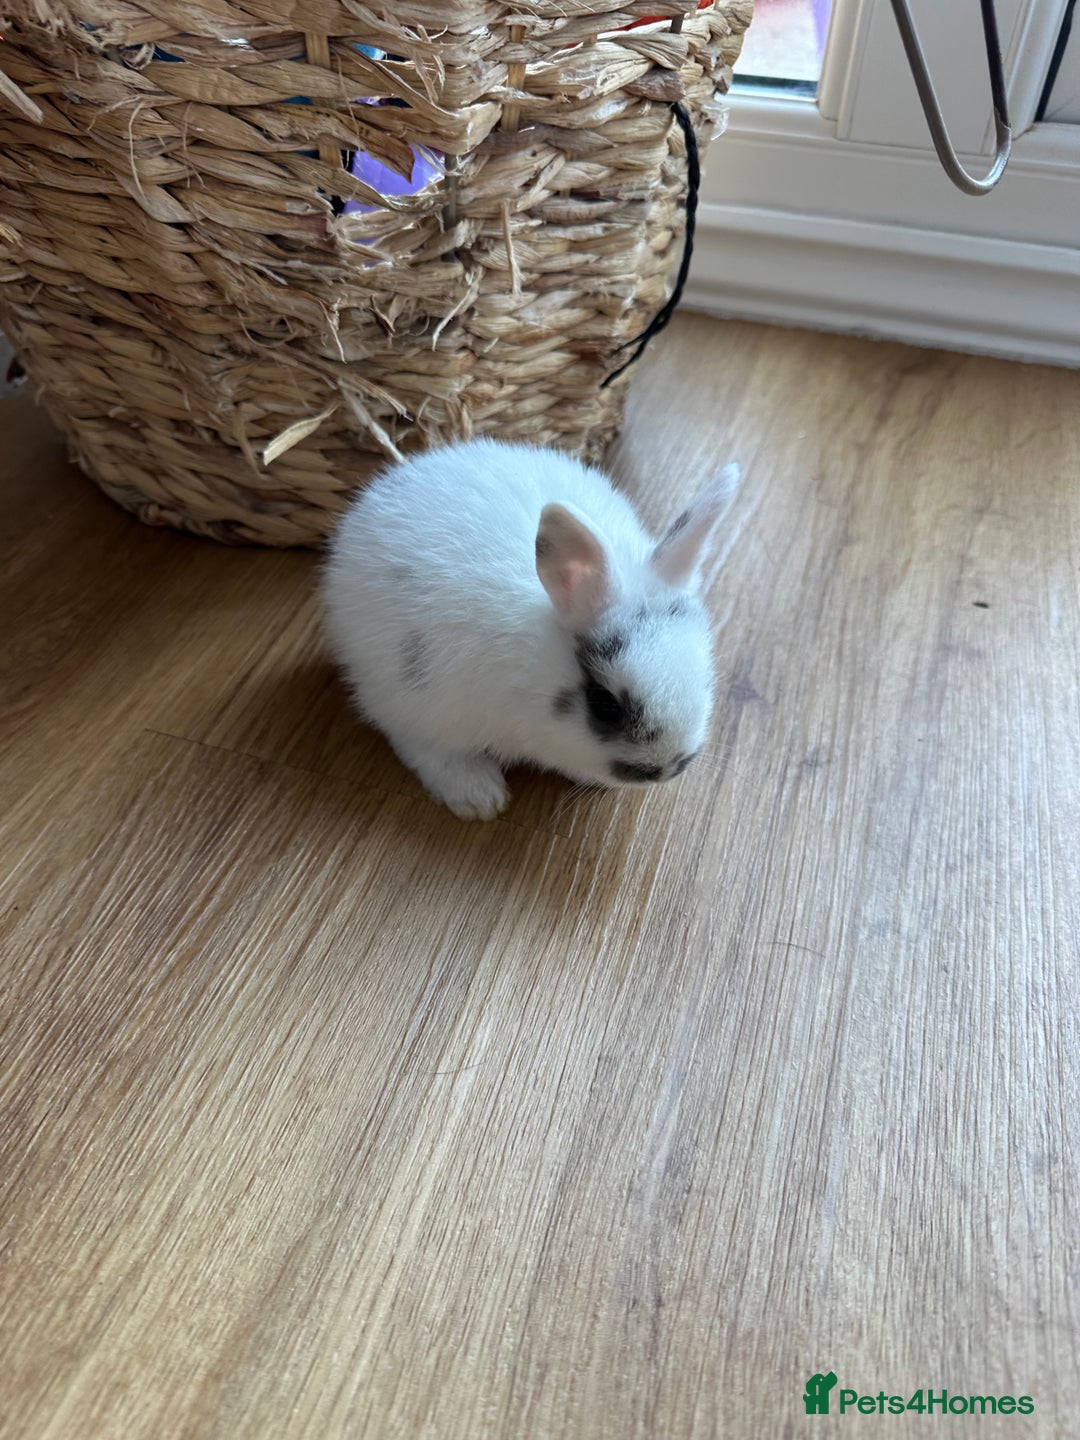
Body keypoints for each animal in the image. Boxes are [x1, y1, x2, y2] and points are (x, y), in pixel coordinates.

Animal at [321, 437, 738, 820]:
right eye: (604, 705)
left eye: (706, 678)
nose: (667, 767)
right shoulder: (428, 709)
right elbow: (431, 750)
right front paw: (481, 802)